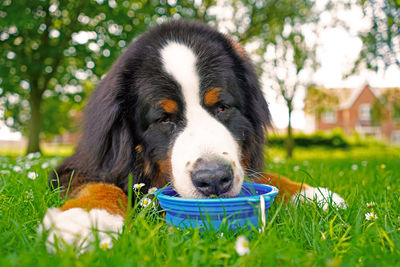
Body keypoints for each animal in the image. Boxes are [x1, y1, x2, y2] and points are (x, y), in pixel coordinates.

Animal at [41, 19, 346, 252]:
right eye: (164, 118)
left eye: (222, 106)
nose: (214, 180)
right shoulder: (78, 167)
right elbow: (101, 185)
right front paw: (86, 219)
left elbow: (265, 177)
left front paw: (310, 193)